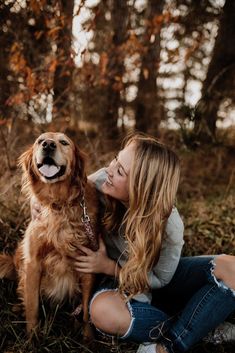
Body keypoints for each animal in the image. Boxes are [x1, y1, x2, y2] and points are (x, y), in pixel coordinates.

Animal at [0, 131, 100, 336]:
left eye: (64, 142)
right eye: (40, 141)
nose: (48, 145)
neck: (58, 203)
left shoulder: (88, 262)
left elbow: (87, 312)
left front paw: (88, 338)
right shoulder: (33, 263)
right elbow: (32, 307)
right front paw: (32, 337)